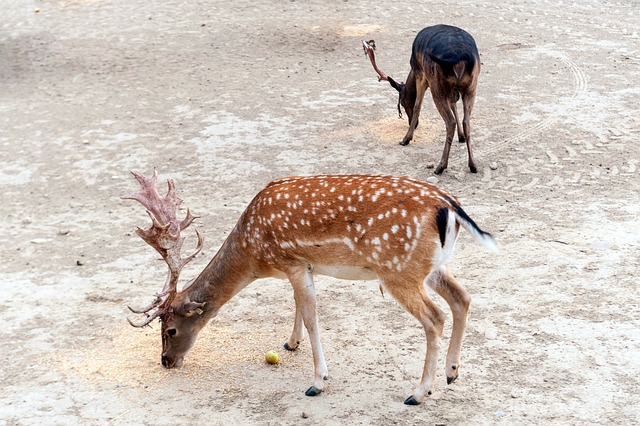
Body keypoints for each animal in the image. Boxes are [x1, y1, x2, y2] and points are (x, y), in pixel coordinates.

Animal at [123, 170, 497, 405]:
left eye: (170, 330)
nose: (166, 361)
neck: (255, 254)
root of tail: (449, 205)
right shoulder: (303, 266)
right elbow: (298, 305)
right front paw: (290, 343)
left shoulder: (291, 261)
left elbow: (312, 315)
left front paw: (317, 382)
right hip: (429, 266)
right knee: (462, 298)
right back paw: (451, 373)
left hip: (398, 270)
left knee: (434, 317)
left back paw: (418, 393)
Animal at [363, 24, 481, 175]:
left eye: (402, 102)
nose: (413, 124)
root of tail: (460, 57)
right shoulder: (452, 92)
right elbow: (454, 105)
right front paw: (461, 137)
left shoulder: (421, 75)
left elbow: (417, 106)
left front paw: (406, 139)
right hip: (471, 86)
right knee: (466, 121)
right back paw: (473, 165)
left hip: (437, 86)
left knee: (450, 122)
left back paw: (441, 166)